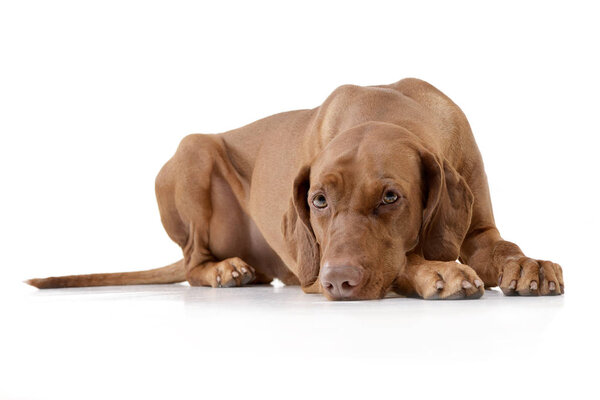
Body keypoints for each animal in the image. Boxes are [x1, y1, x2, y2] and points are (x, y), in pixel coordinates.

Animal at [27, 78, 564, 300]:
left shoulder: (479, 228)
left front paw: (528, 265)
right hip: (193, 151)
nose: (337, 282)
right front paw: (438, 271)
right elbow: (404, 262)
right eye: (318, 201)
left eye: (391, 197)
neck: (387, 109)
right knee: (194, 262)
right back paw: (222, 270)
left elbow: (501, 246)